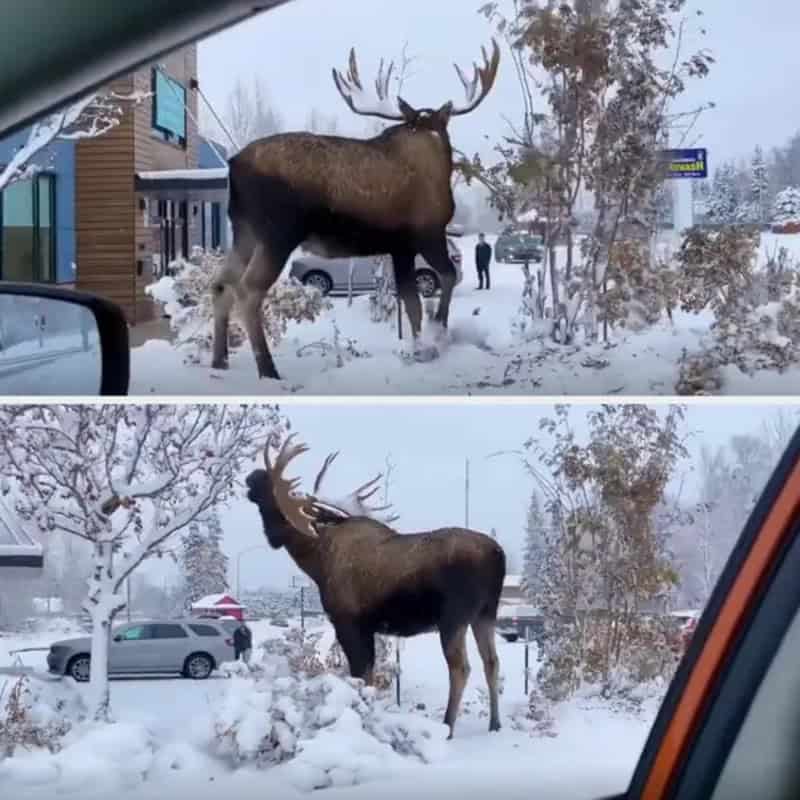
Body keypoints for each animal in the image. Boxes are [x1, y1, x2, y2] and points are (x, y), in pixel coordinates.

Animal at [211, 40, 501, 380]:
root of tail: (234, 166)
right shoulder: (427, 231)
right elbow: (446, 277)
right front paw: (437, 332)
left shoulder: (399, 246)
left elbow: (411, 302)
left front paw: (419, 346)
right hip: (278, 232)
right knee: (248, 289)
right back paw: (268, 370)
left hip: (244, 230)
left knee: (221, 282)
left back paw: (219, 361)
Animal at [244, 434, 506, 738]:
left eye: (273, 486)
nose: (252, 476)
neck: (315, 559)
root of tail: (497, 555)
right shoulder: (367, 627)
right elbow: (367, 675)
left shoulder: (348, 621)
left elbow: (360, 673)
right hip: (485, 613)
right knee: (492, 661)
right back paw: (495, 724)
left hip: (454, 617)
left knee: (461, 668)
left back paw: (448, 726)